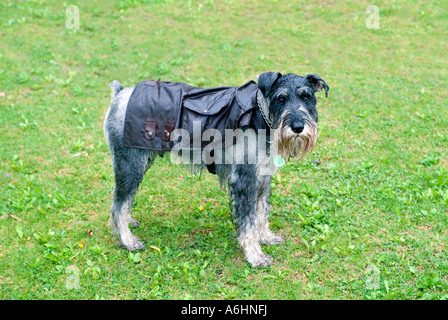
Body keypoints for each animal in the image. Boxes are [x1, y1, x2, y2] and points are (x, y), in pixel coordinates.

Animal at [105, 72, 328, 268]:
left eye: (306, 96)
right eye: (281, 98)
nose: (298, 127)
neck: (261, 117)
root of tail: (120, 94)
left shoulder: (263, 179)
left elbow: (261, 212)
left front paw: (266, 237)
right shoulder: (245, 182)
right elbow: (248, 222)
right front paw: (255, 255)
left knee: (121, 198)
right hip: (131, 165)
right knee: (117, 205)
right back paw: (128, 241)